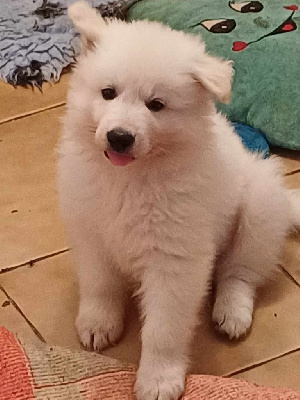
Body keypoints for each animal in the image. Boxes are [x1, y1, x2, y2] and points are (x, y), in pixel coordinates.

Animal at [57, 2, 298, 396]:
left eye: (156, 105)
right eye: (108, 93)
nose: (119, 137)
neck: (130, 179)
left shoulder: (175, 262)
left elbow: (163, 330)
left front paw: (158, 379)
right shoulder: (91, 233)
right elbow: (99, 285)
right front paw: (98, 323)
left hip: (259, 213)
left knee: (239, 271)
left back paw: (231, 311)